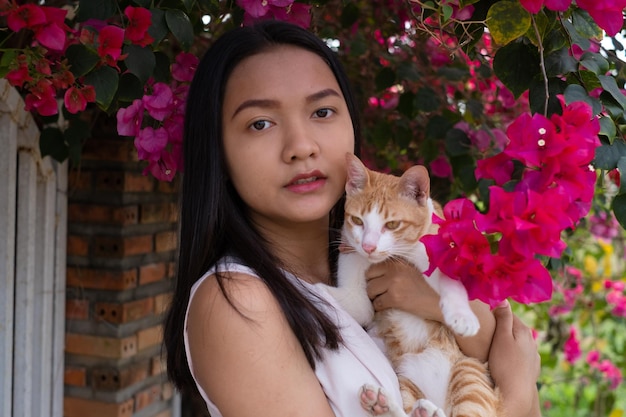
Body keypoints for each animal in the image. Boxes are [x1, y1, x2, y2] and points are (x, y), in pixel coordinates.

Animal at [322, 154, 502, 416]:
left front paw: (461, 315)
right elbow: (349, 300)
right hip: (406, 380)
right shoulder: (352, 261)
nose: (368, 247)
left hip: (468, 372)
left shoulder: (442, 254)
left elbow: (452, 280)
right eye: (357, 221)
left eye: (392, 224)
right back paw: (383, 404)